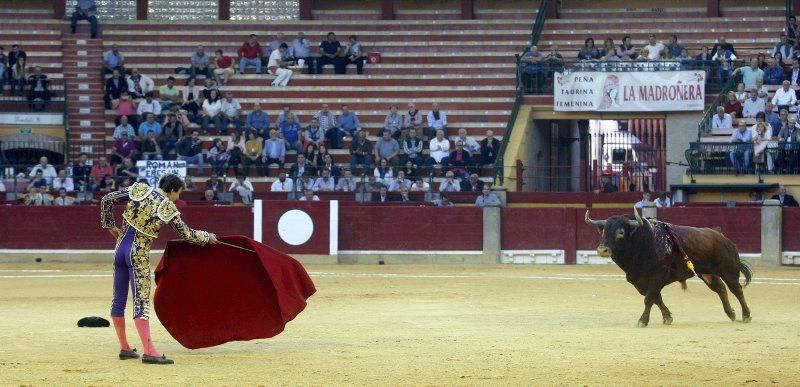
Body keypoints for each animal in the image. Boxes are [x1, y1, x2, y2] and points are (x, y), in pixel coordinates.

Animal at [588, 208, 752, 328]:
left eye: (621, 232)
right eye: (603, 231)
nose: (602, 250)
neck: (643, 242)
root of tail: (721, 236)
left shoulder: (658, 276)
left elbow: (649, 298)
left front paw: (642, 321)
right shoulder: (640, 281)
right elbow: (656, 298)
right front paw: (667, 317)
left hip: (729, 271)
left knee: (736, 290)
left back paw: (746, 316)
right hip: (706, 273)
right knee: (720, 288)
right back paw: (731, 313)